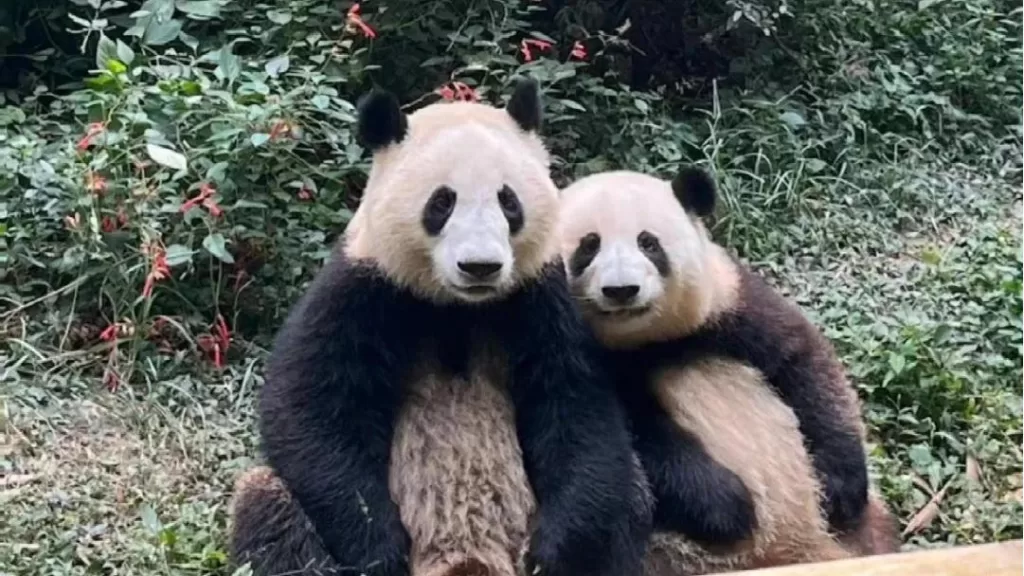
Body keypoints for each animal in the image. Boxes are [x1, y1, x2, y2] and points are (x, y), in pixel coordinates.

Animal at [226, 79, 654, 576]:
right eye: (442, 202)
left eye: (509, 201)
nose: (480, 266)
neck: (458, 307)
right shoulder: (364, 288)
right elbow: (311, 406)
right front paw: (379, 549)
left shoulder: (538, 299)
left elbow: (575, 407)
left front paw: (551, 554)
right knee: (270, 506)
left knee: (626, 498)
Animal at [555, 166, 901, 574]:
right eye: (589, 245)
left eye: (648, 243)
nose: (622, 290)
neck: (644, 341)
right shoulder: (586, 358)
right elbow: (636, 432)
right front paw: (730, 506)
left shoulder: (728, 304)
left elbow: (803, 361)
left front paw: (841, 487)